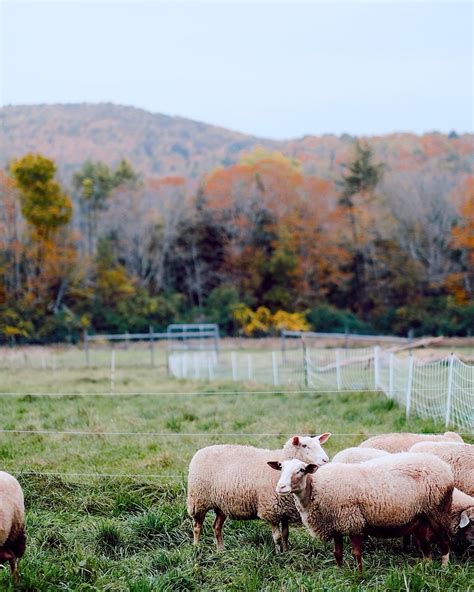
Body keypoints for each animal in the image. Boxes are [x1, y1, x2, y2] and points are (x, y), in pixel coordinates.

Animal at [187, 432, 332, 552]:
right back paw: (196, 548)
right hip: (198, 500)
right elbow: (278, 537)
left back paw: (221, 550)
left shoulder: (284, 510)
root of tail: (201, 450)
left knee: (216, 526)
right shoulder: (271, 509)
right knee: (197, 526)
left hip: (221, 504)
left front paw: (286, 552)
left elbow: (286, 535)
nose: (326, 460)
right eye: (304, 445)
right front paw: (279, 555)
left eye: (319, 444)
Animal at [268, 450, 454, 572]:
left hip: (438, 511)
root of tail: (445, 467)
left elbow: (356, 553)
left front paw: (358, 576)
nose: (281, 487)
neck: (316, 489)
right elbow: (337, 553)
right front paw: (340, 573)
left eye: (300, 470)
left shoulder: (353, 521)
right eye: (281, 468)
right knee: (425, 545)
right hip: (421, 518)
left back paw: (444, 569)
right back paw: (426, 568)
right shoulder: (336, 524)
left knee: (445, 541)